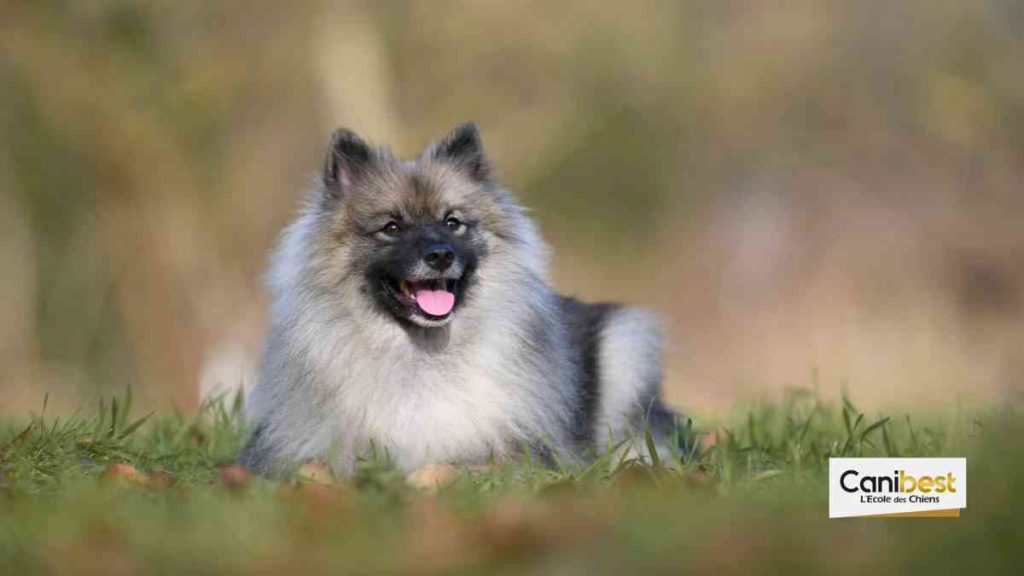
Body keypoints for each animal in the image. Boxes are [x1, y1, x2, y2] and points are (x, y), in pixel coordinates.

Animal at [240, 123, 686, 475]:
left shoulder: (510, 451)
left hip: (626, 346)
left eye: (452, 222)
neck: (420, 358)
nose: (440, 255)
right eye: (392, 227)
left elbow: (448, 466)